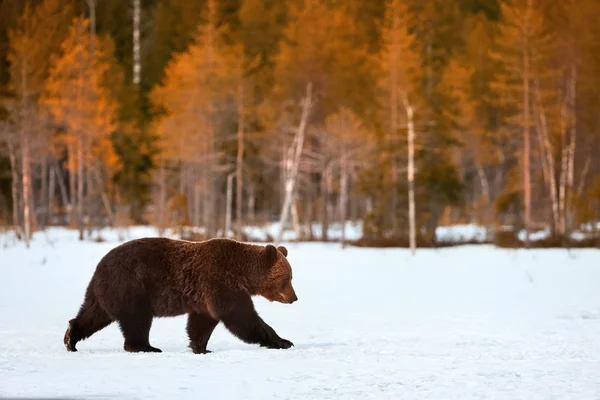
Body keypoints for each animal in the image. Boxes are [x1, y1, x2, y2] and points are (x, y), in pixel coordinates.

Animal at [63, 238, 298, 354]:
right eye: (287, 278)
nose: (294, 297)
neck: (243, 274)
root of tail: (100, 264)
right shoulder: (220, 281)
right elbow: (242, 317)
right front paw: (283, 341)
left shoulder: (205, 297)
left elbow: (201, 323)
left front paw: (201, 347)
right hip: (131, 285)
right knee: (137, 319)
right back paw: (145, 347)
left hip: (105, 291)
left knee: (93, 314)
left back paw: (70, 338)